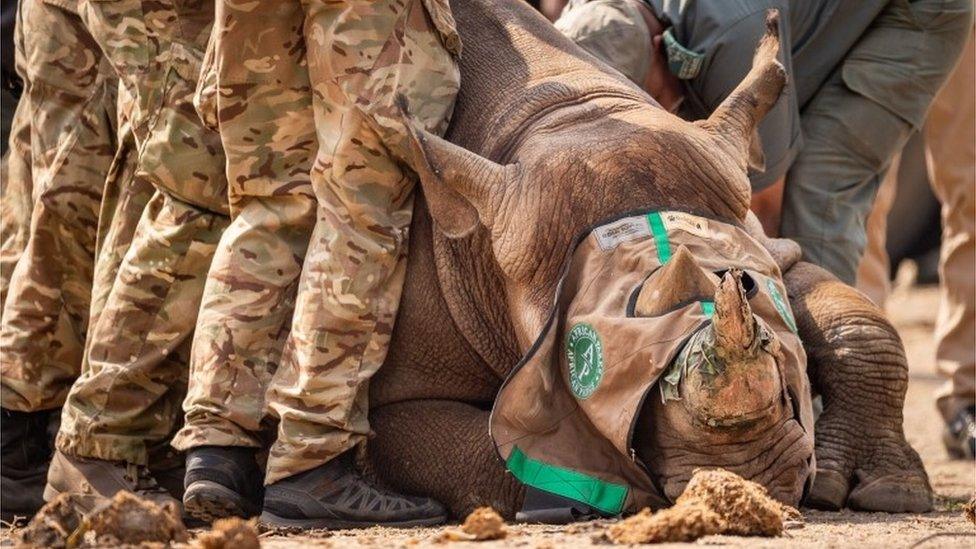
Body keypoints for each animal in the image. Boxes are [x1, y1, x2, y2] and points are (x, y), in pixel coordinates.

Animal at [360, 0, 932, 516]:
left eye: (747, 285)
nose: (751, 475)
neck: (562, 113)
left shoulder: (761, 242)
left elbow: (858, 323)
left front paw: (890, 494)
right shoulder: (402, 391)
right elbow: (493, 455)